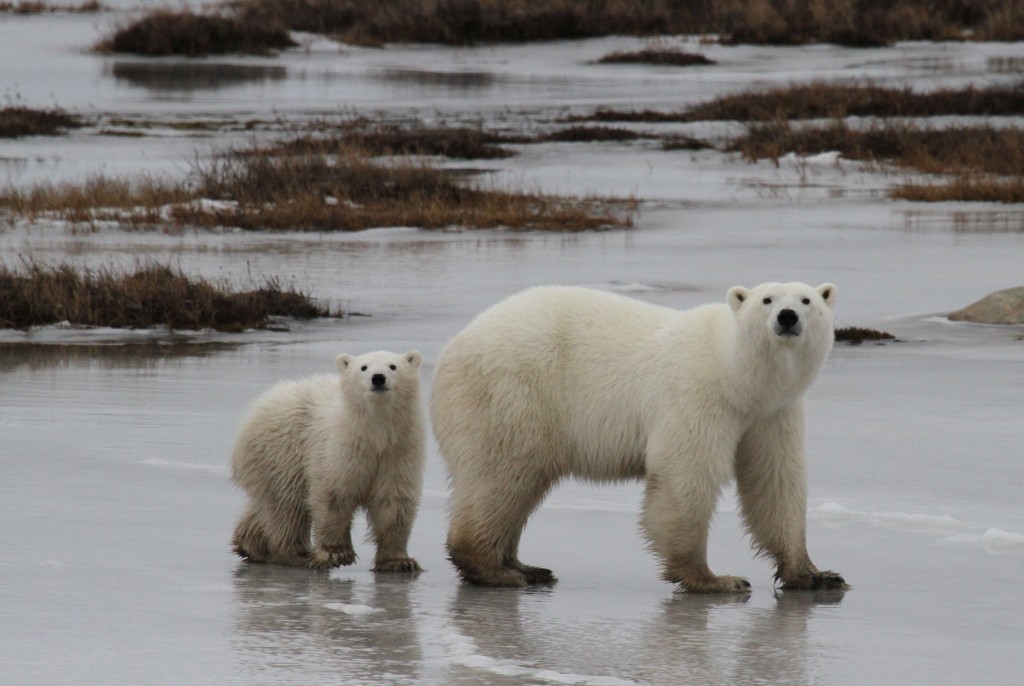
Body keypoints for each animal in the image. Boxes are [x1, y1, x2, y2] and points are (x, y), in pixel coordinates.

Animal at [432, 282, 847, 593]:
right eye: (767, 300)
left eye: (807, 300)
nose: (788, 317)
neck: (735, 372)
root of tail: (456, 344)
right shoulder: (697, 396)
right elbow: (686, 476)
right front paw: (715, 579)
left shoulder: (774, 413)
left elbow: (775, 480)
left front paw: (815, 575)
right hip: (513, 392)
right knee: (503, 472)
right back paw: (497, 570)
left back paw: (527, 567)